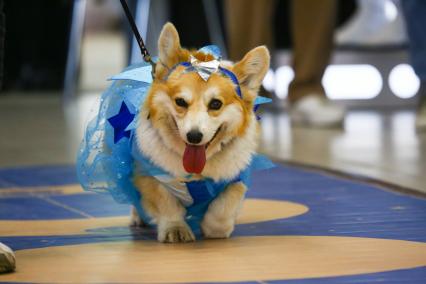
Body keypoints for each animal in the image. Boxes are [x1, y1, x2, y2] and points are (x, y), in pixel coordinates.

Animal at [132, 23, 270, 243]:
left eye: (216, 104)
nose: (194, 137)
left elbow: (223, 209)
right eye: (180, 102)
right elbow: (166, 203)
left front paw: (214, 228)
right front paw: (175, 228)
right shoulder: (147, 173)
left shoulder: (236, 179)